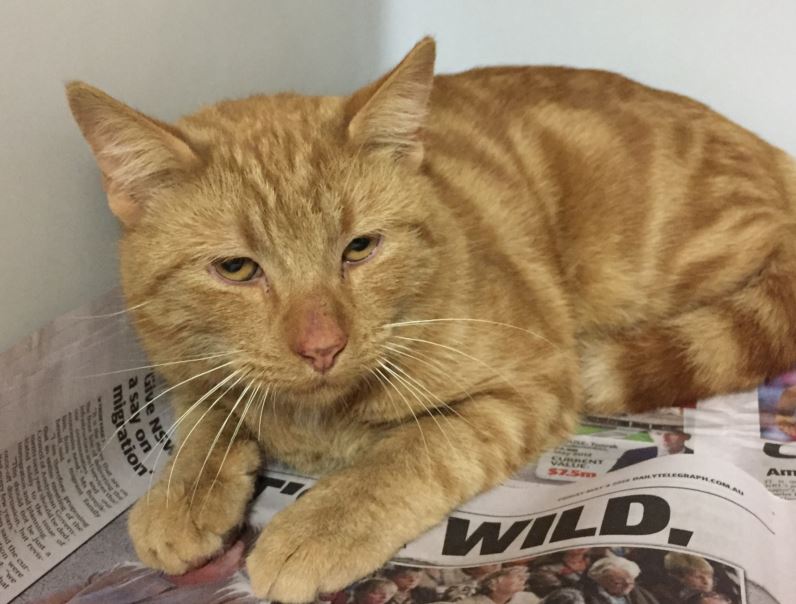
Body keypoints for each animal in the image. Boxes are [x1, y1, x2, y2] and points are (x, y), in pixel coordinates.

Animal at [65, 37, 796, 602]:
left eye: (360, 248)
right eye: (238, 269)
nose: (323, 347)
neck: (316, 423)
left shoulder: (533, 383)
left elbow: (412, 451)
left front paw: (316, 525)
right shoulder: (186, 365)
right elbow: (206, 416)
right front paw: (183, 494)